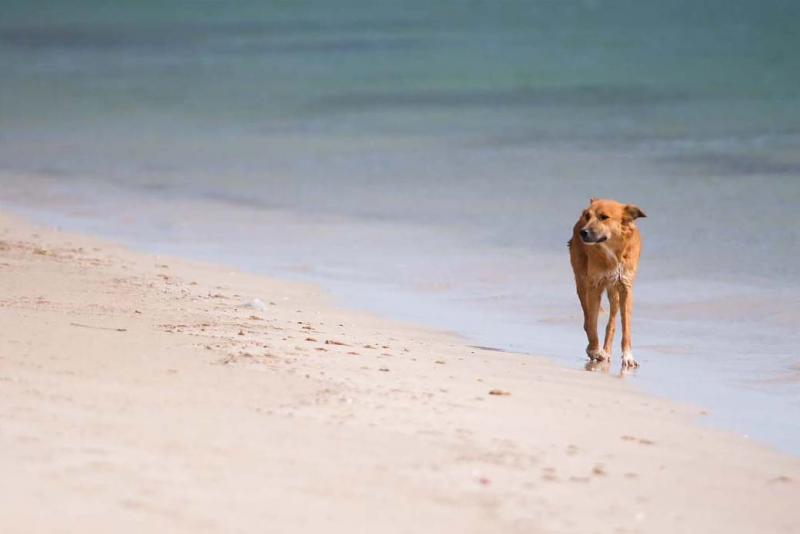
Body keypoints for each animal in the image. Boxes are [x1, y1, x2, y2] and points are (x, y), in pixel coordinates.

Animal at [564, 199, 648, 370]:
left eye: (604, 217)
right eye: (587, 215)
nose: (583, 232)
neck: (612, 252)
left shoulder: (625, 287)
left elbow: (626, 327)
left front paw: (628, 357)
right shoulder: (594, 285)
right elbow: (592, 323)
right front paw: (595, 350)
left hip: (613, 292)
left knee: (612, 323)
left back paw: (607, 350)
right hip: (582, 283)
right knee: (587, 319)